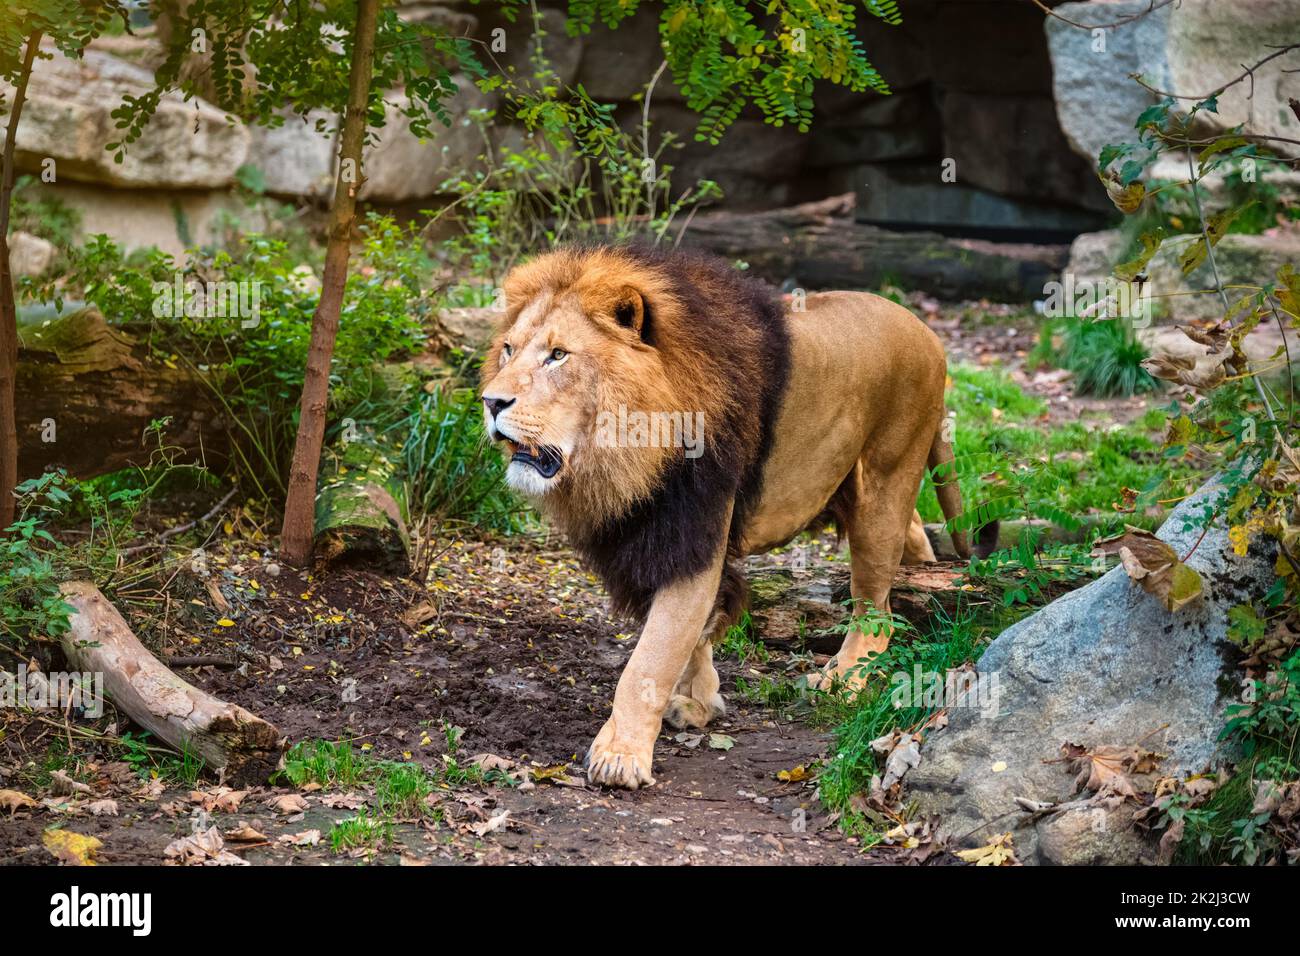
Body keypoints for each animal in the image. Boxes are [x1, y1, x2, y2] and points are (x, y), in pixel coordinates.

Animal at [483, 243, 987, 790]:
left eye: (558, 355)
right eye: (508, 349)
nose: (490, 402)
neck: (626, 454)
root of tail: (928, 331)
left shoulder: (695, 530)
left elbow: (650, 659)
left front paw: (621, 756)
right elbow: (694, 634)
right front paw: (701, 702)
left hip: (886, 483)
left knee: (876, 609)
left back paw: (842, 679)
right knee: (914, 547)